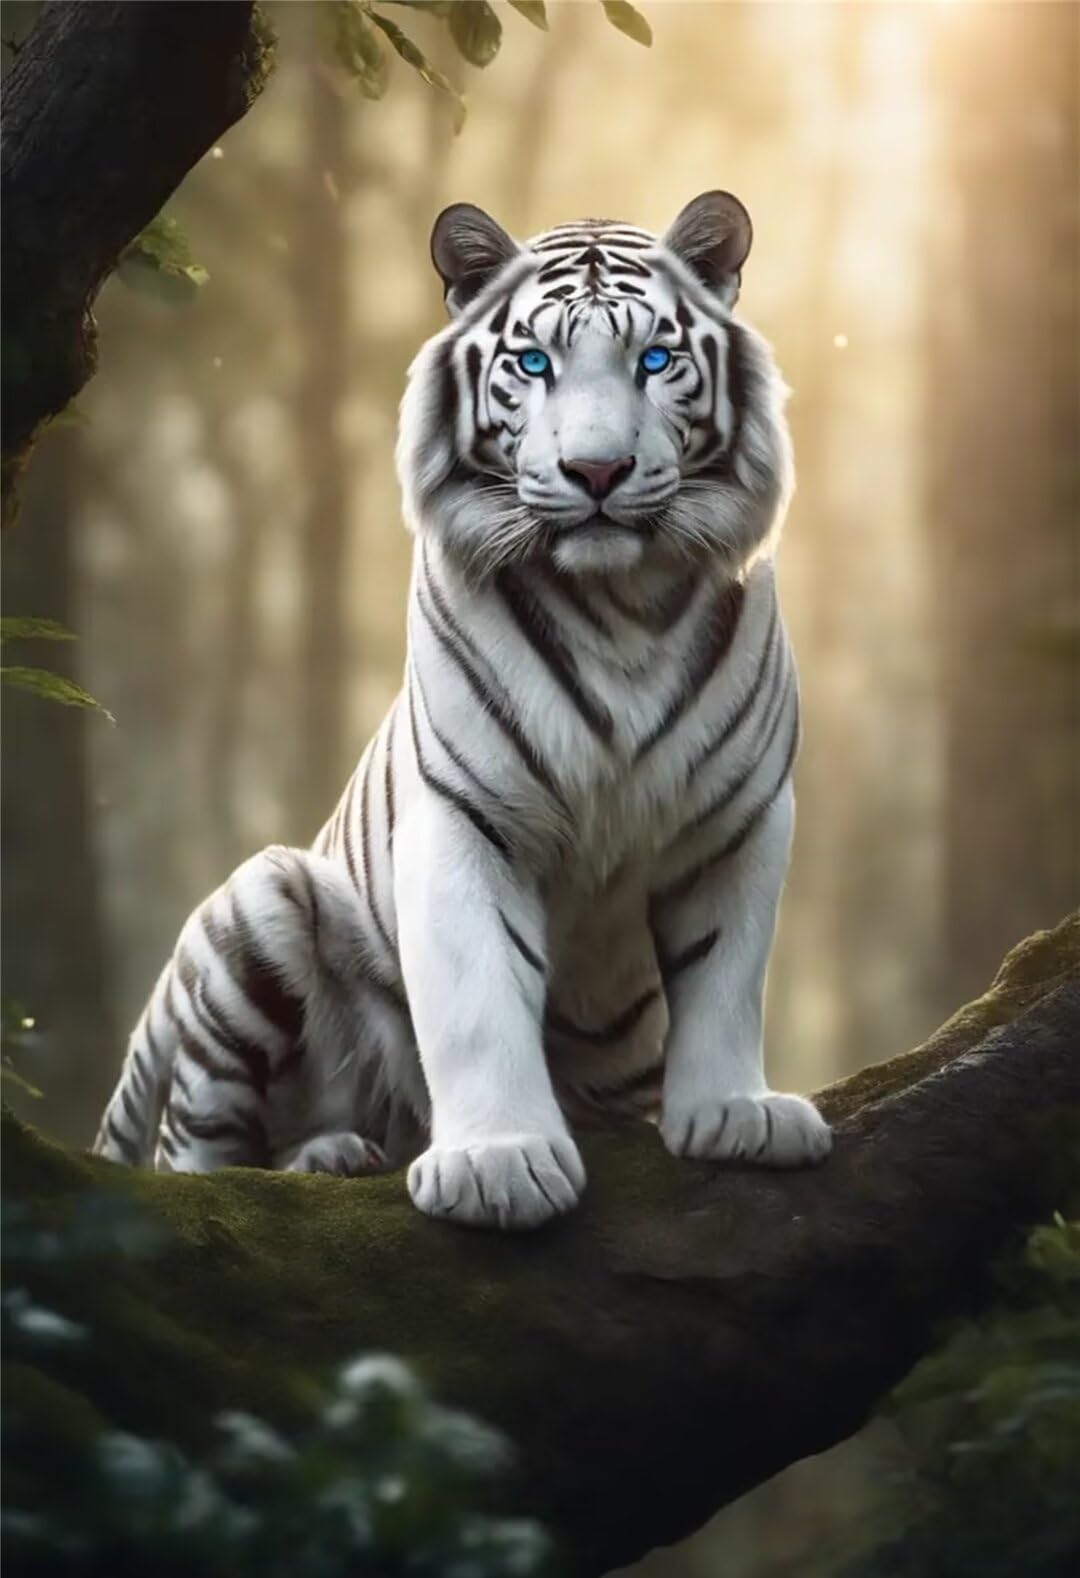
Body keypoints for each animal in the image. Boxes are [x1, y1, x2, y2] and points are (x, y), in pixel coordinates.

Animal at [94, 190, 832, 1229]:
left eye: (655, 360)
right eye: (535, 363)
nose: (597, 472)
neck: (620, 605)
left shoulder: (738, 815)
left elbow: (723, 972)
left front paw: (734, 1113)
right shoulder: (465, 814)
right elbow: (480, 994)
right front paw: (499, 1164)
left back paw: (339, 1153)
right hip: (260, 907)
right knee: (194, 1154)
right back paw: (309, 1161)